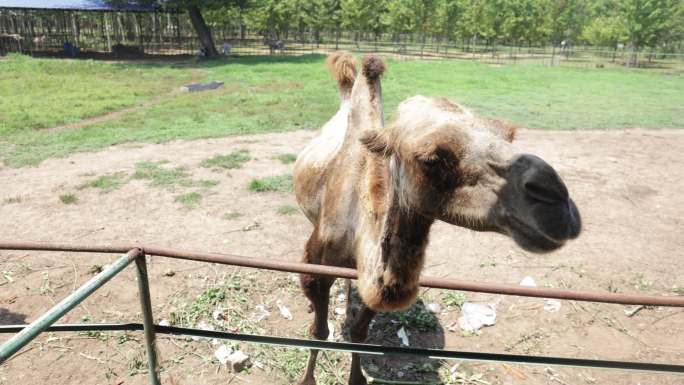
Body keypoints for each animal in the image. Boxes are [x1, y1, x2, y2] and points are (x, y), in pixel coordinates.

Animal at [292, 51, 580, 384]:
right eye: (431, 159)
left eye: (510, 135)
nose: (558, 203)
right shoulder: (313, 268)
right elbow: (319, 333)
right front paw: (308, 376)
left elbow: (359, 333)